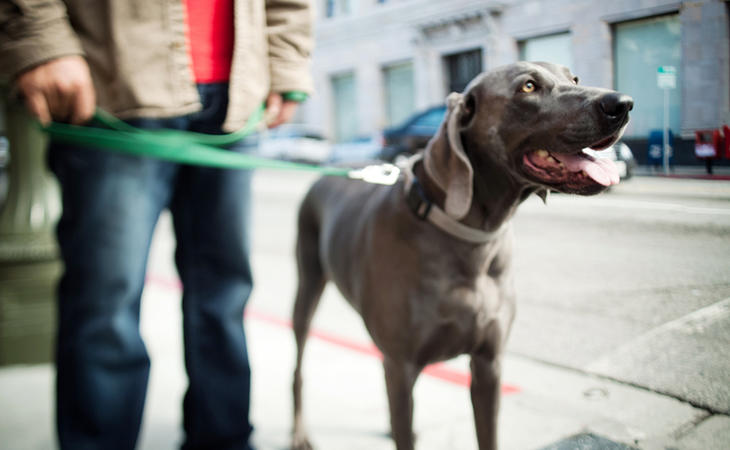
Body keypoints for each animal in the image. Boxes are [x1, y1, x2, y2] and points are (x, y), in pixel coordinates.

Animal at [290, 60, 632, 450]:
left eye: (573, 78)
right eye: (528, 87)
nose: (622, 103)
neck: (472, 241)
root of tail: (323, 175)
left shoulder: (488, 364)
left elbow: (487, 434)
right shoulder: (402, 365)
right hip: (307, 285)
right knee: (298, 368)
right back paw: (299, 433)